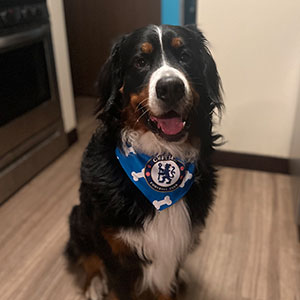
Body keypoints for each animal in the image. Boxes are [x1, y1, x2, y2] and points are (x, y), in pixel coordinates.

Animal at [66, 24, 225, 300]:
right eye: (140, 62)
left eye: (185, 56)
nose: (171, 87)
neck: (161, 153)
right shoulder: (115, 250)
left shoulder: (176, 244)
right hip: (79, 215)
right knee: (86, 252)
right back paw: (94, 281)